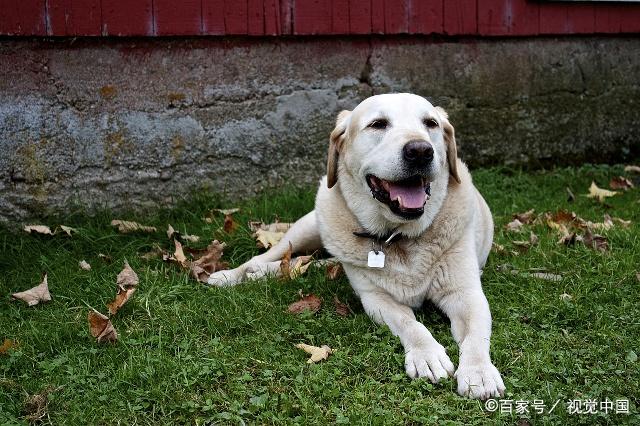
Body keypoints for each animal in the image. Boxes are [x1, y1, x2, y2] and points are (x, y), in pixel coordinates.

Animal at [209, 93, 504, 400]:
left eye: (431, 123)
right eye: (378, 124)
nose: (421, 151)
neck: (398, 237)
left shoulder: (467, 295)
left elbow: (475, 337)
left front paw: (479, 372)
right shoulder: (376, 299)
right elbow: (410, 324)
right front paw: (427, 354)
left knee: (313, 263)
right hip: (309, 226)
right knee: (270, 256)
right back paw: (235, 275)